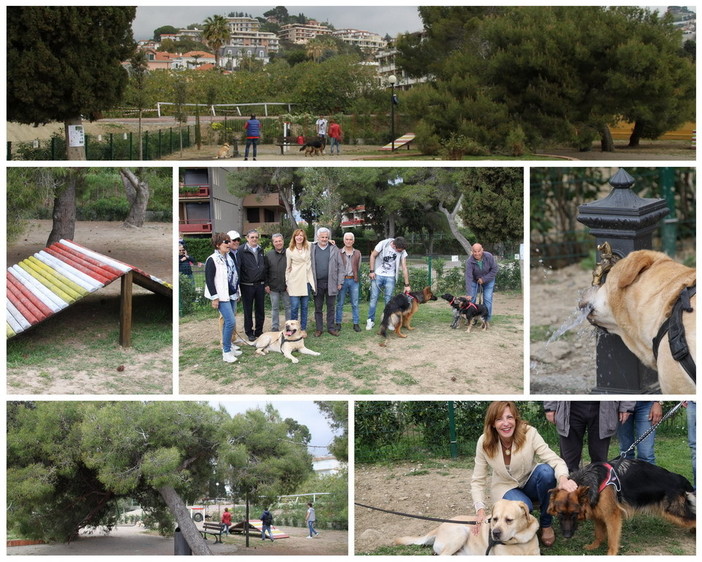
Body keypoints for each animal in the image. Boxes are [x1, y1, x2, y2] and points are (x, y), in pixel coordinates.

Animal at [394, 498, 540, 552]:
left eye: (509, 520)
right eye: (494, 519)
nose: (495, 533)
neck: (519, 541)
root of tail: (439, 527)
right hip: (461, 533)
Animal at [548, 458, 696, 552]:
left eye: (574, 514)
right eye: (560, 514)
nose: (567, 536)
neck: (592, 480)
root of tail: (679, 478)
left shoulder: (613, 517)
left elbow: (612, 539)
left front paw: (611, 554)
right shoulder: (598, 514)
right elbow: (599, 534)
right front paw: (594, 546)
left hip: (674, 513)